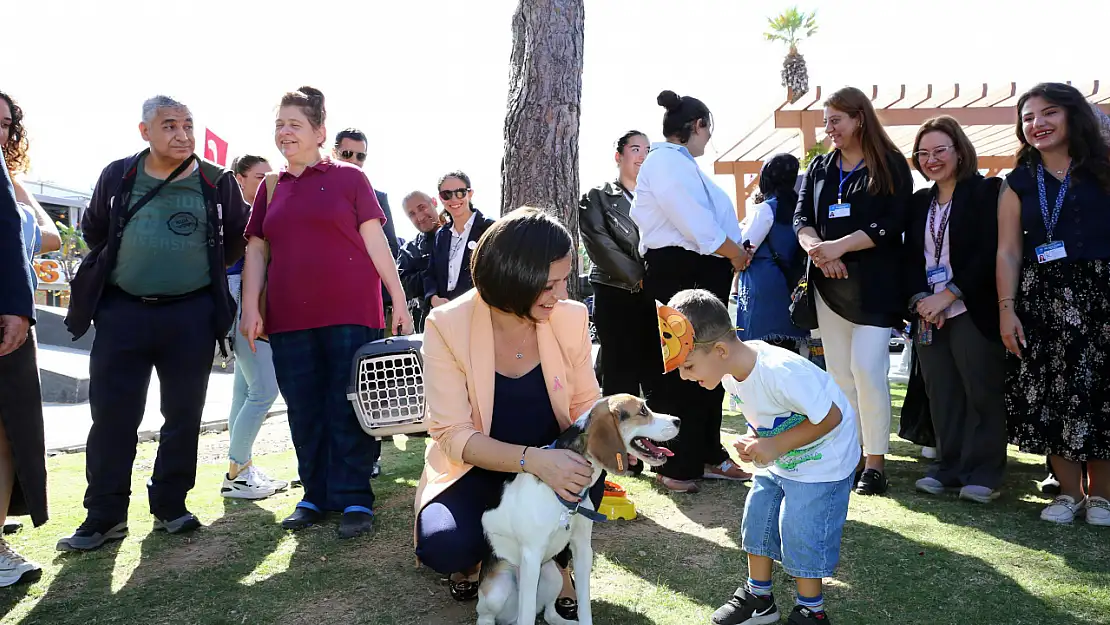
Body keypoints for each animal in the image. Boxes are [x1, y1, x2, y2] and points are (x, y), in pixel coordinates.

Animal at [475, 395, 674, 625]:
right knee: (490, 616)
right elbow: (528, 615)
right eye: (642, 411)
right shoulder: (531, 556)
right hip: (496, 591)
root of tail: (510, 618)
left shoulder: (582, 549)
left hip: (552, 575)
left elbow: (585, 604)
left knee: (550, 613)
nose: (678, 421)